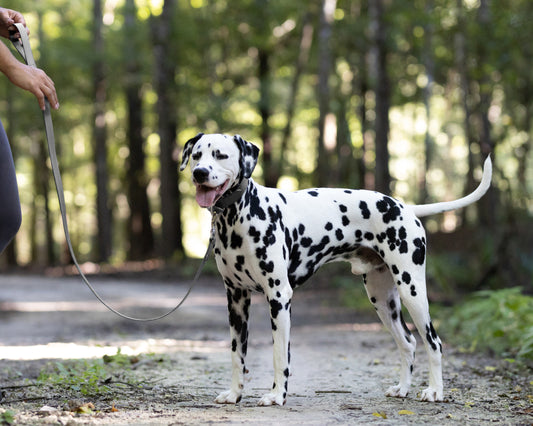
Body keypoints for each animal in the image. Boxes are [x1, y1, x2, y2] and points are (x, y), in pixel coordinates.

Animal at [181, 132, 492, 406]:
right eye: (196, 155)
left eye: (220, 155)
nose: (199, 173)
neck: (240, 216)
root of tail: (405, 207)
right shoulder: (236, 299)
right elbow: (237, 355)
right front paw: (234, 394)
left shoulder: (279, 297)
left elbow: (280, 355)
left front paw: (277, 396)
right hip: (383, 301)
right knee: (408, 343)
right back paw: (402, 389)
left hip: (412, 291)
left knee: (433, 342)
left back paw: (435, 391)